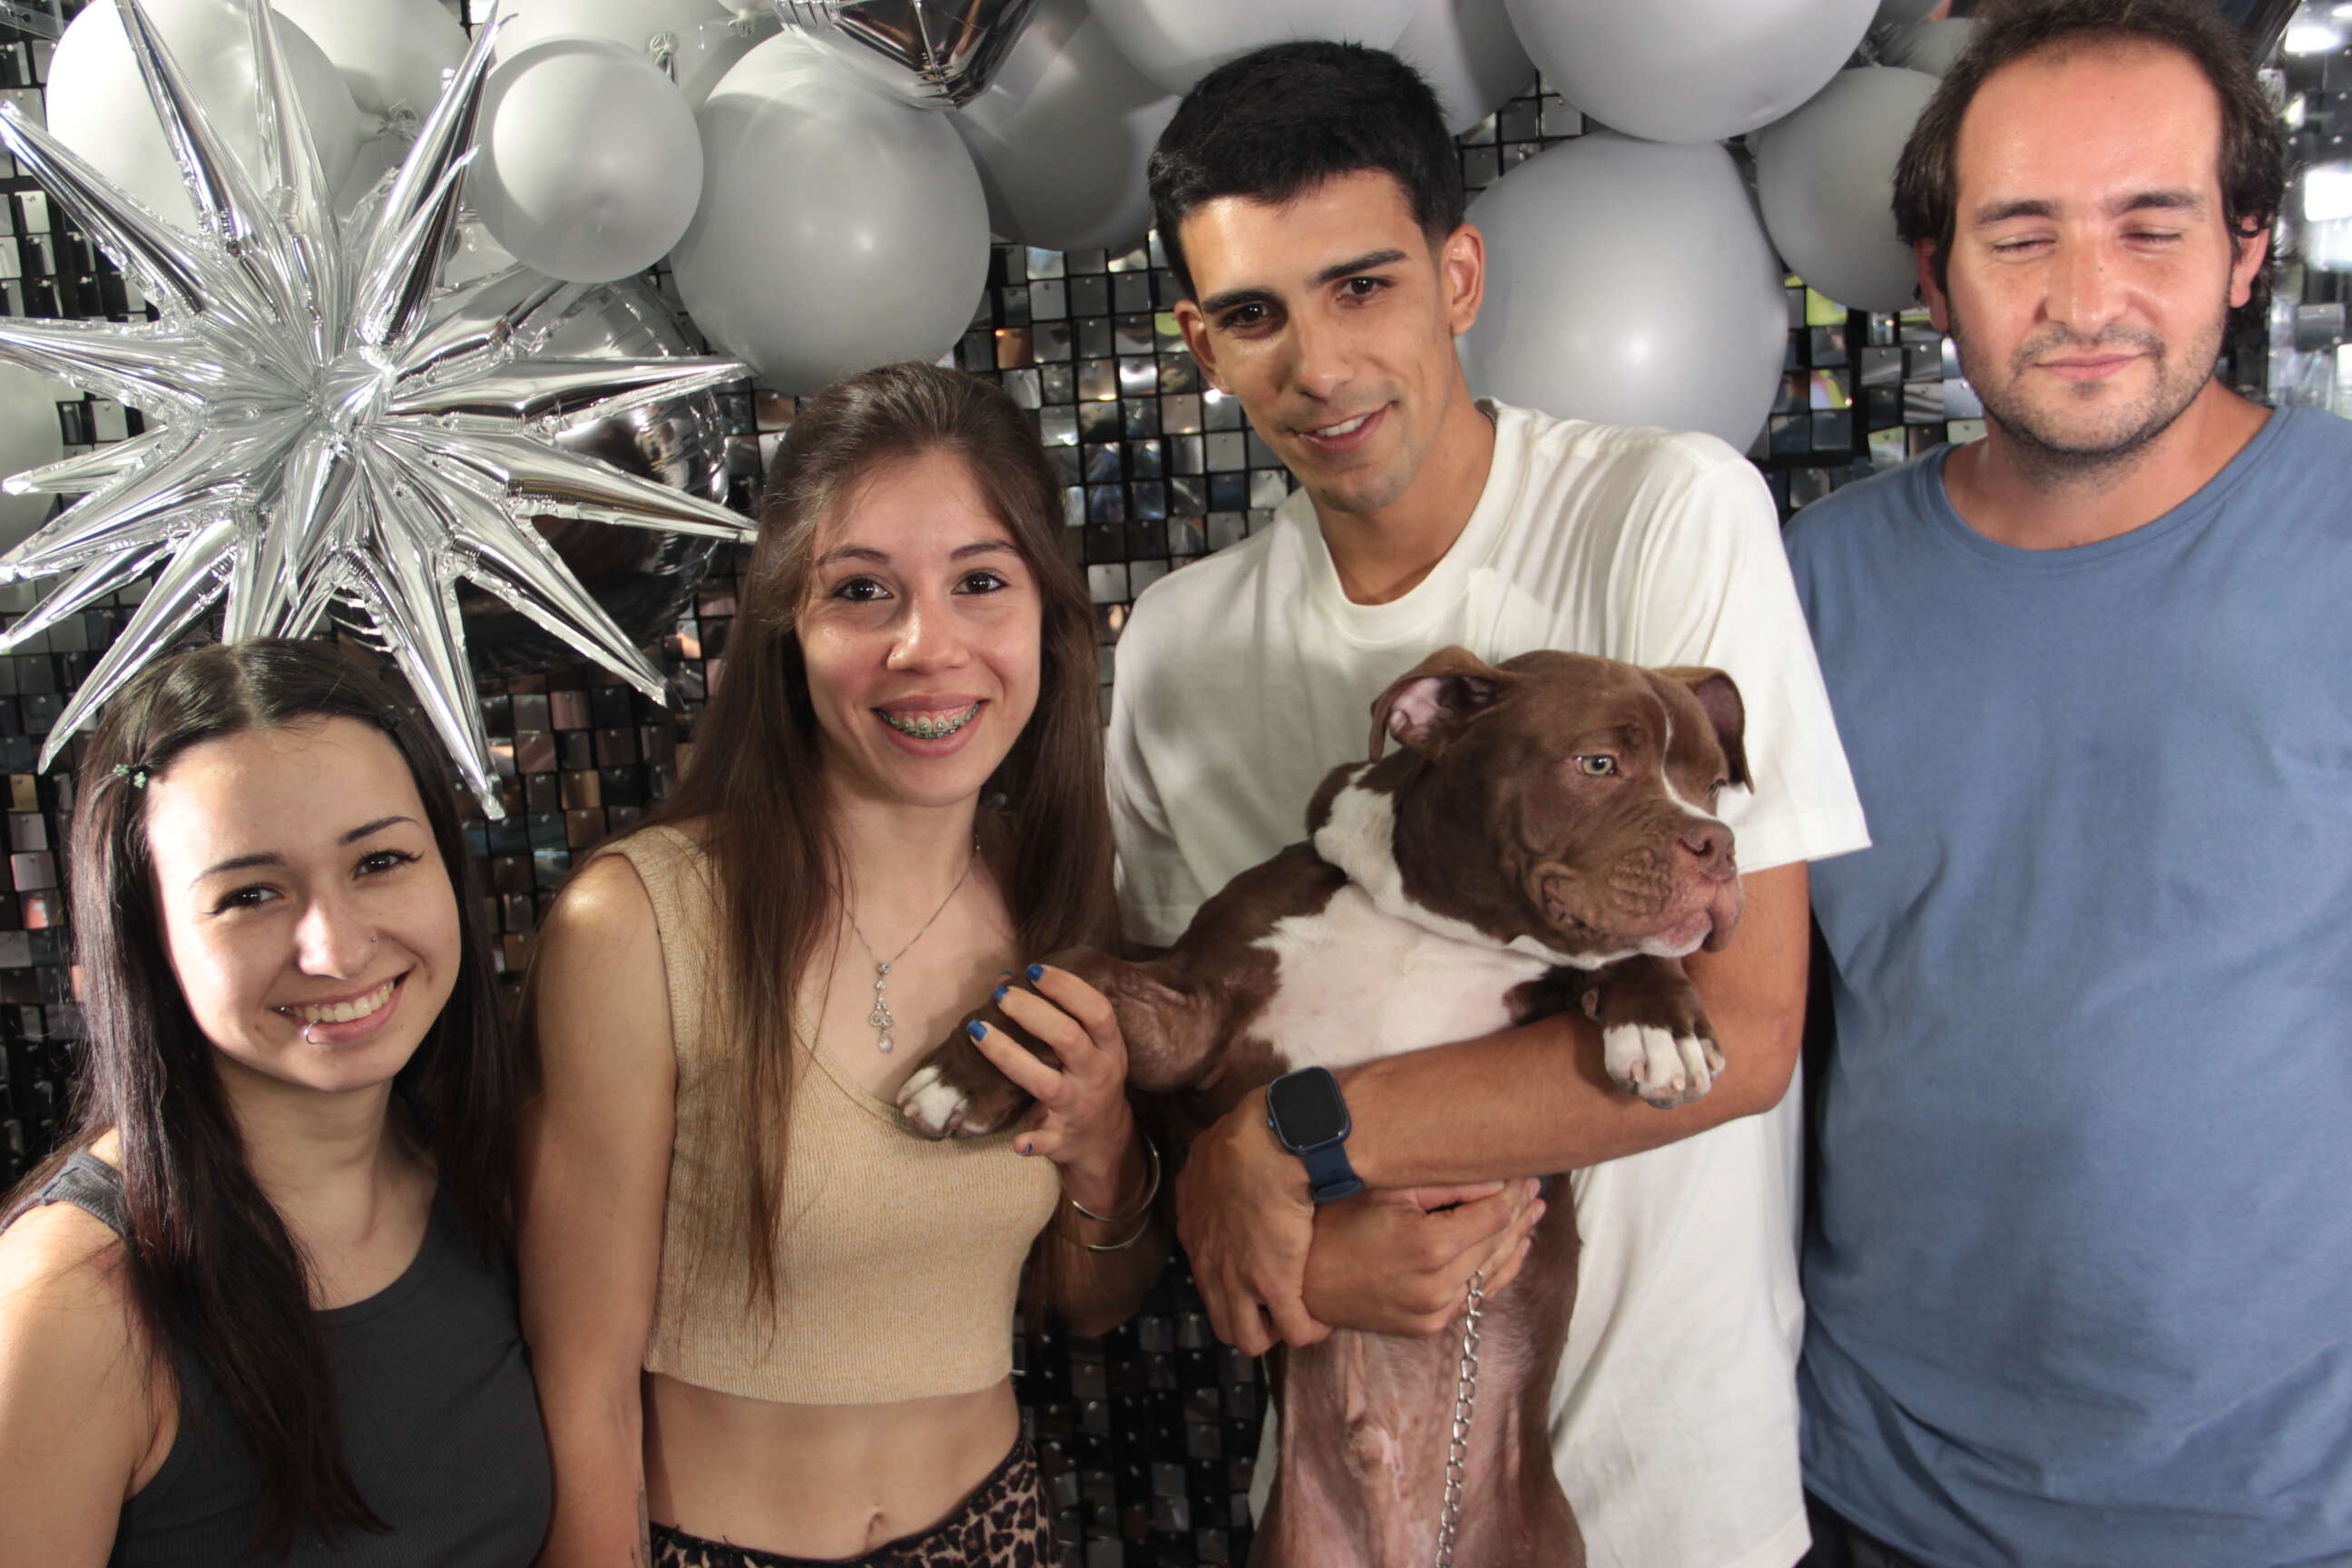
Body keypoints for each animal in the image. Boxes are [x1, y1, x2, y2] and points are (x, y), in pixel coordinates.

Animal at [896, 645, 1751, 1568]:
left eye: (1711, 785)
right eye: (1598, 764)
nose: (1719, 844)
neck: (1434, 927)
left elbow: (1625, 954)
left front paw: (1662, 1023)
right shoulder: (1191, 1015)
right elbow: (1071, 965)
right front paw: (962, 1070)